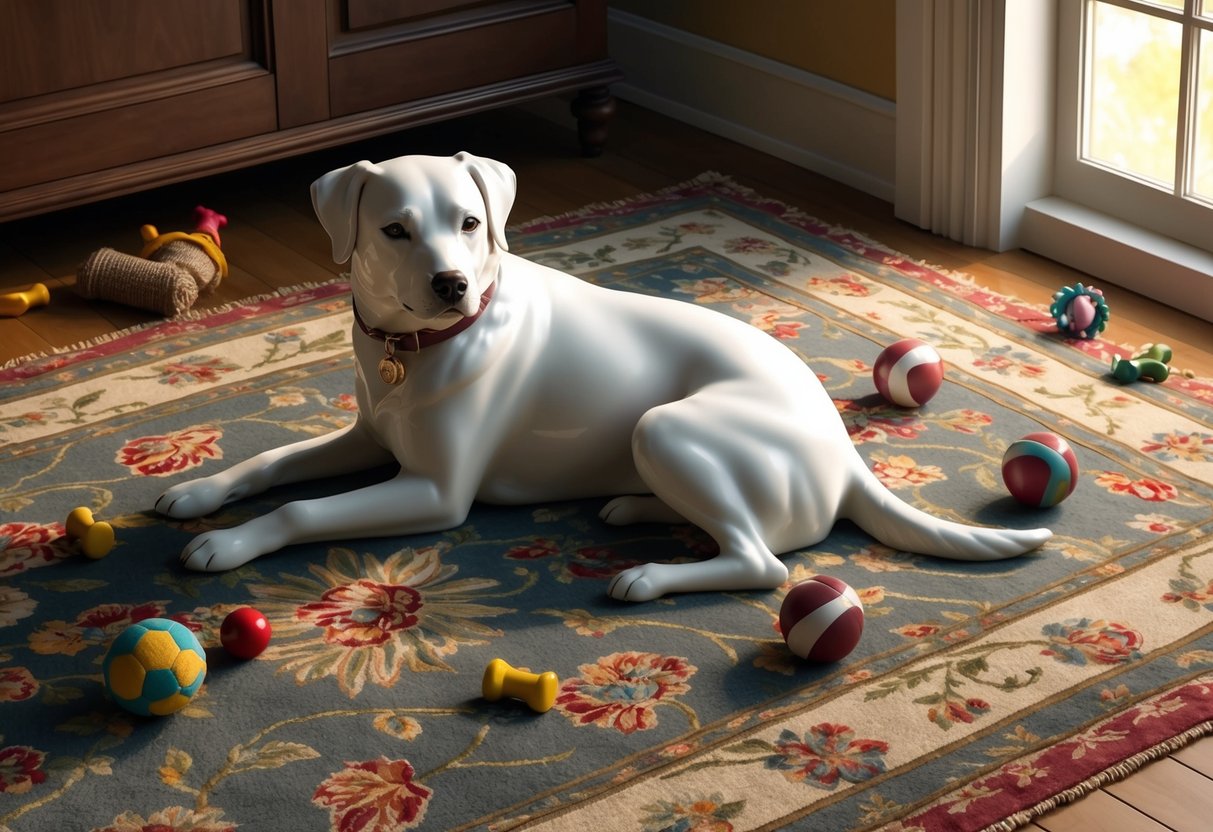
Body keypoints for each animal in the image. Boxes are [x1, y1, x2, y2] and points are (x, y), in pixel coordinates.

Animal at [154, 153, 1052, 603]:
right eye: (395, 230)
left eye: (470, 223)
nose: (451, 283)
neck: (416, 345)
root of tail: (845, 455)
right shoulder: (365, 437)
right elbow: (272, 463)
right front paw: (201, 493)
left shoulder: (433, 492)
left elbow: (301, 508)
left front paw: (227, 542)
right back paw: (633, 507)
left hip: (667, 425)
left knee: (764, 562)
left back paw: (648, 576)